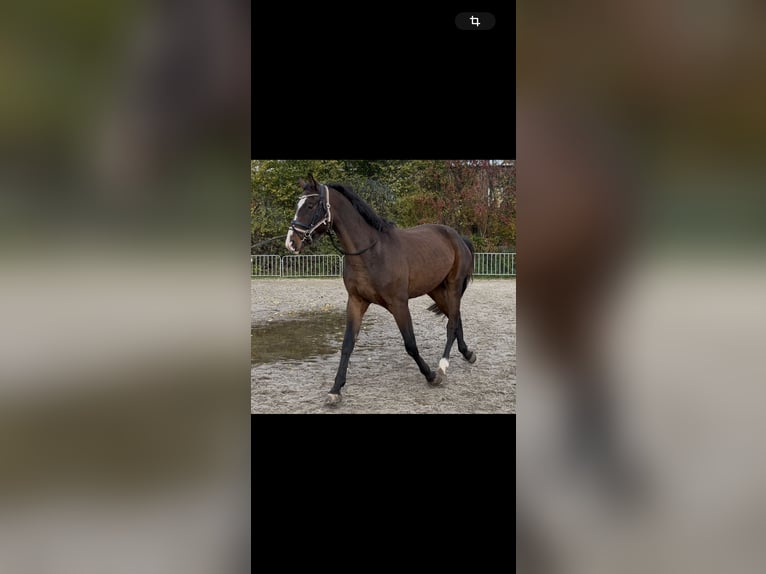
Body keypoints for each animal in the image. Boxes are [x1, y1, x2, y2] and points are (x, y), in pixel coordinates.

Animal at [285, 174, 477, 405]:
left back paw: (442, 366)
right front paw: (335, 389)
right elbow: (347, 344)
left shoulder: (399, 304)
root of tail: (458, 237)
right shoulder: (356, 302)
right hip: (437, 290)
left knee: (452, 323)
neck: (372, 252)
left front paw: (431, 376)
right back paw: (467, 354)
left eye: (311, 205)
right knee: (456, 318)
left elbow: (410, 344)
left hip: (453, 286)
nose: (291, 243)